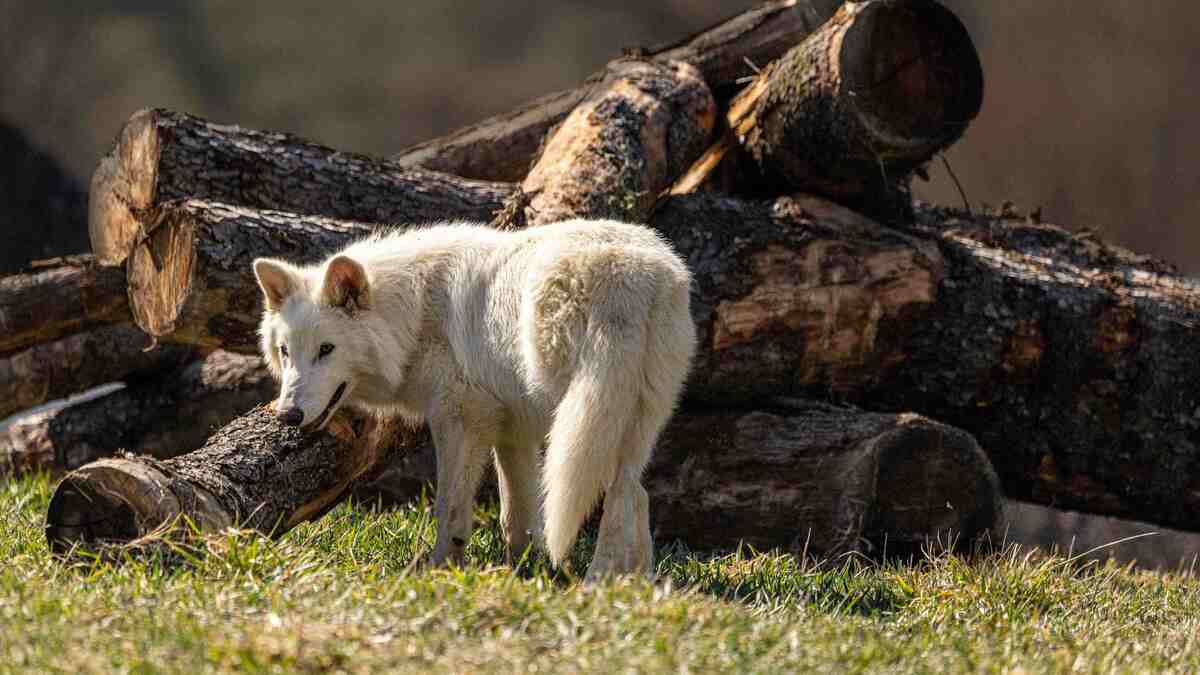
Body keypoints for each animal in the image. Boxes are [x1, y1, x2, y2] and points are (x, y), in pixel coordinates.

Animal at [252, 219, 696, 579]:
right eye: (286, 352)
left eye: (326, 350)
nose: (288, 415)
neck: (413, 315)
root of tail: (629, 276)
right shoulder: (512, 432)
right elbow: (516, 516)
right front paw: (521, 572)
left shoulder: (461, 421)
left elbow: (449, 508)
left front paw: (440, 569)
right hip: (623, 425)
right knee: (632, 493)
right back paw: (630, 584)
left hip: (576, 423)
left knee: (617, 494)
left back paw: (596, 584)